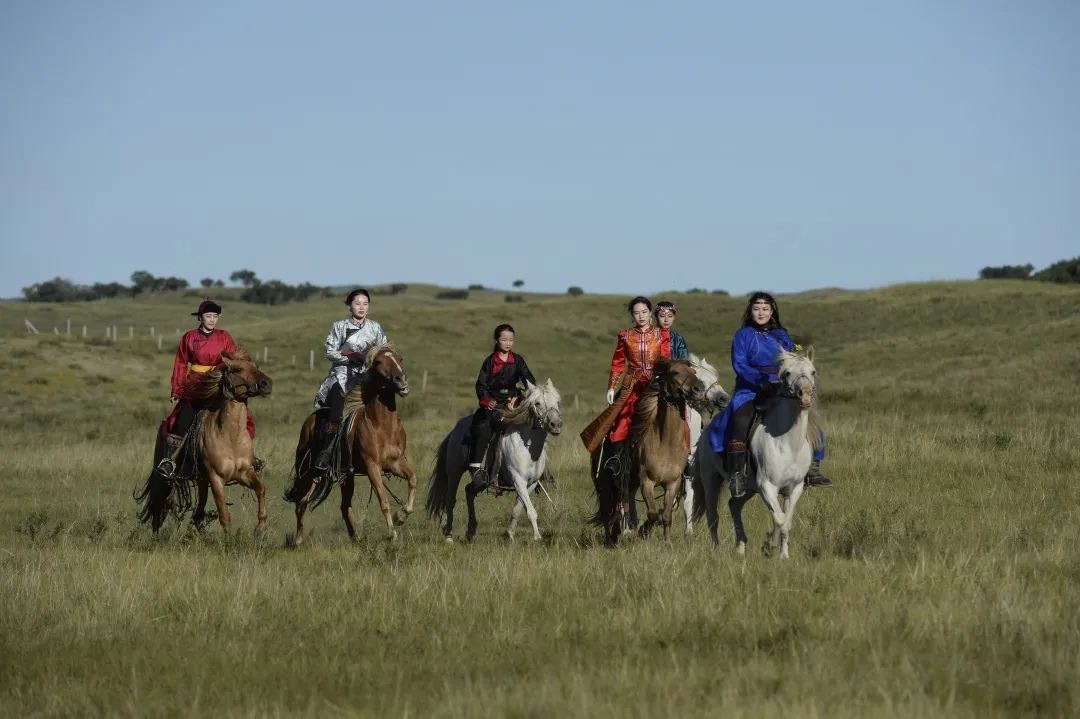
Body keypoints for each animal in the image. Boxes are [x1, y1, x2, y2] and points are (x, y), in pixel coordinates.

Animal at [133, 347, 274, 531]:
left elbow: (261, 488)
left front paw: (260, 527)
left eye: (255, 366)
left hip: (201, 481)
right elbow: (224, 516)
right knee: (158, 509)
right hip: (165, 479)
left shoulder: (244, 473)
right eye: (237, 369)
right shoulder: (216, 478)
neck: (230, 437)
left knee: (197, 515)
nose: (266, 384)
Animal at [282, 343, 416, 544]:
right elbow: (384, 501)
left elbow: (412, 480)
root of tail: (310, 421)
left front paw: (401, 516)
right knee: (301, 502)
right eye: (378, 362)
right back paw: (298, 540)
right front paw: (392, 534)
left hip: (346, 476)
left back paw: (356, 539)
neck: (382, 425)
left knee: (343, 507)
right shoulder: (372, 467)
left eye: (400, 359)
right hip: (307, 470)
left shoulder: (395, 463)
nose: (401, 381)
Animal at [421, 377, 561, 539]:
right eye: (537, 403)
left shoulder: (530, 483)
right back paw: (449, 534)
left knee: (469, 491)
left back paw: (471, 530)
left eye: (557, 401)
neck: (527, 447)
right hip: (454, 471)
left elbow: (518, 509)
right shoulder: (518, 480)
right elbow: (531, 511)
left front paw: (509, 535)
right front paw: (537, 537)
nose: (556, 424)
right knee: (451, 500)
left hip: (481, 480)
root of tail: (457, 428)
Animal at [695, 345, 812, 557]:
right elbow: (780, 518)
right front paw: (769, 544)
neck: (788, 443)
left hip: (748, 487)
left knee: (734, 505)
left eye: (813, 372)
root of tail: (707, 429)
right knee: (712, 515)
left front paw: (783, 555)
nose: (805, 394)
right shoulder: (767, 486)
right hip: (711, 480)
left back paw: (741, 546)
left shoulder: (794, 488)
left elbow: (786, 521)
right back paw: (716, 548)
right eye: (787, 373)